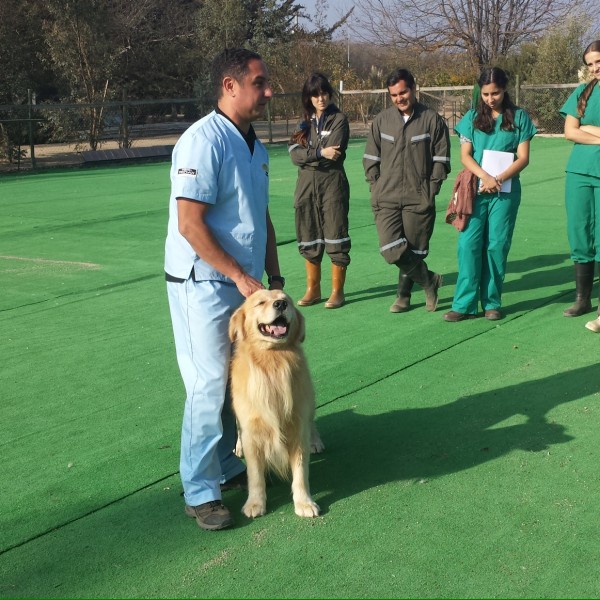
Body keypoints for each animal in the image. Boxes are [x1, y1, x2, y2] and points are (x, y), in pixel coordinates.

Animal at [230, 288, 324, 516]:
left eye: (286, 300)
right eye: (260, 302)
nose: (280, 305)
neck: (273, 360)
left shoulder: (296, 426)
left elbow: (300, 471)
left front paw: (304, 503)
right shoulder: (252, 431)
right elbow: (255, 475)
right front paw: (255, 503)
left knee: (311, 421)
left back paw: (315, 441)